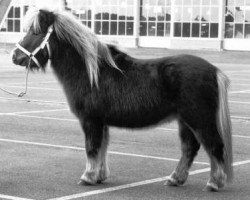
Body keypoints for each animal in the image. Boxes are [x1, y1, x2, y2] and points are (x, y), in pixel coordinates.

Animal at [12, 8, 232, 191]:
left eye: (35, 33)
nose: (15, 56)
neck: (91, 73)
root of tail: (214, 71)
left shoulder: (90, 120)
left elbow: (92, 148)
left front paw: (88, 177)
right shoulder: (101, 122)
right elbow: (102, 148)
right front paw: (99, 176)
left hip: (199, 119)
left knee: (214, 146)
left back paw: (214, 182)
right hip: (185, 121)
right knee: (189, 149)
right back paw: (175, 179)